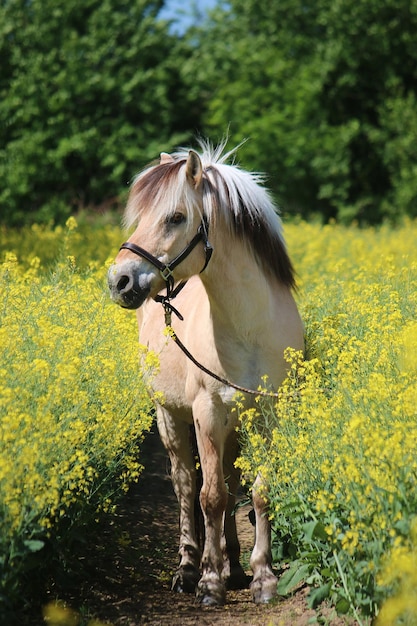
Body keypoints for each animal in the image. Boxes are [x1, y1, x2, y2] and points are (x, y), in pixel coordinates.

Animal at [107, 141, 302, 604]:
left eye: (176, 217)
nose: (118, 281)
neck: (250, 328)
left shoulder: (267, 417)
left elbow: (257, 493)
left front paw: (263, 577)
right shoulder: (207, 413)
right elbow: (209, 496)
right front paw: (210, 582)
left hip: (232, 426)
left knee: (229, 482)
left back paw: (234, 565)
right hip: (171, 417)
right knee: (186, 486)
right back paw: (189, 568)